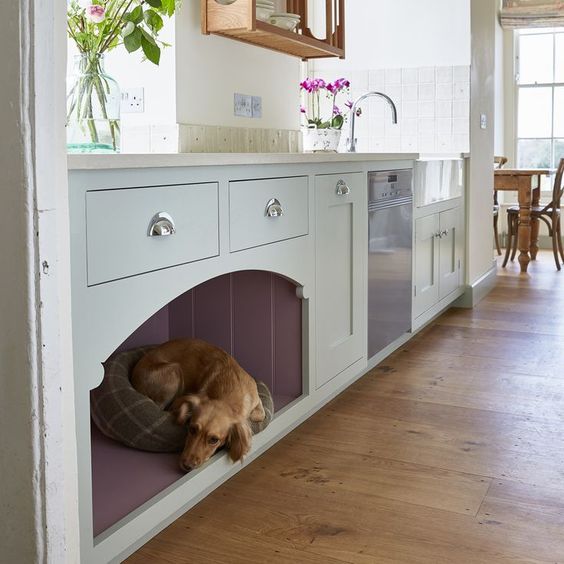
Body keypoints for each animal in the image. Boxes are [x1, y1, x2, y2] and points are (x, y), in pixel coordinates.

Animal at [131, 340, 266, 472]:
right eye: (192, 429)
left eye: (214, 440)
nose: (187, 466)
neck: (229, 388)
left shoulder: (257, 402)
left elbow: (259, 415)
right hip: (175, 371)